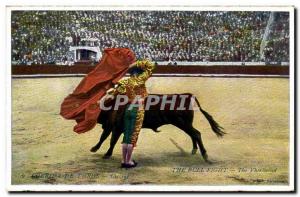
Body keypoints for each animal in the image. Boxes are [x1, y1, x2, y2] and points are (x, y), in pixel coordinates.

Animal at [90, 93, 224, 162]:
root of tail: (186, 95)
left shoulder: (116, 127)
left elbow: (111, 140)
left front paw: (105, 153)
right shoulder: (112, 126)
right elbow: (104, 137)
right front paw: (95, 149)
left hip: (182, 123)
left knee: (196, 134)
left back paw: (205, 156)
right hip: (186, 123)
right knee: (193, 134)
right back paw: (194, 150)